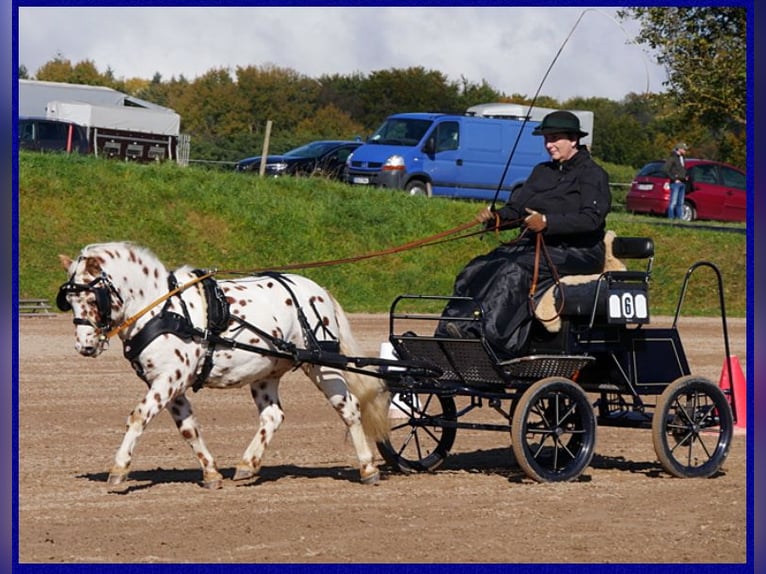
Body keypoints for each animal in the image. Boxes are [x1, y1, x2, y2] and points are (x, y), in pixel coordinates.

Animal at [56, 243, 390, 490]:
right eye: (68, 301)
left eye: (93, 298)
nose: (85, 346)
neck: (163, 309)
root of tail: (318, 290)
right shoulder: (169, 384)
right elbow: (189, 429)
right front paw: (211, 472)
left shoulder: (169, 379)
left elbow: (138, 417)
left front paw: (119, 468)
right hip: (266, 373)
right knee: (273, 416)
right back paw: (247, 465)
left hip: (322, 366)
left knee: (349, 409)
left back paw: (367, 467)